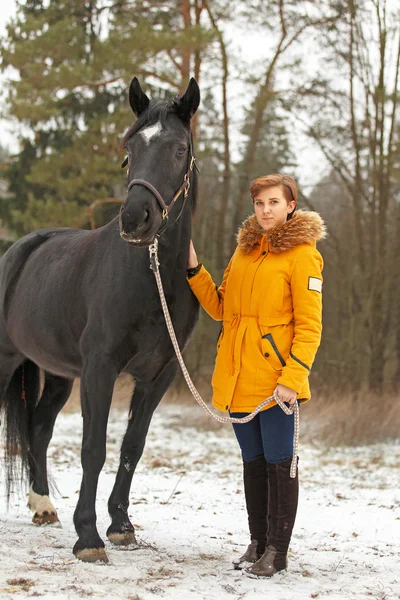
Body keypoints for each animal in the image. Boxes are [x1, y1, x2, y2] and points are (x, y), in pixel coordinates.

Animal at [0, 76, 200, 564]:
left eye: (178, 149)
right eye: (129, 149)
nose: (135, 219)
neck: (153, 276)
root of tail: (17, 251)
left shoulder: (158, 375)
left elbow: (132, 446)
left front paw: (121, 526)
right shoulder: (100, 369)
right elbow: (93, 449)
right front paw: (88, 537)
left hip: (57, 375)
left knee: (38, 429)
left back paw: (42, 505)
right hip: (7, 362)